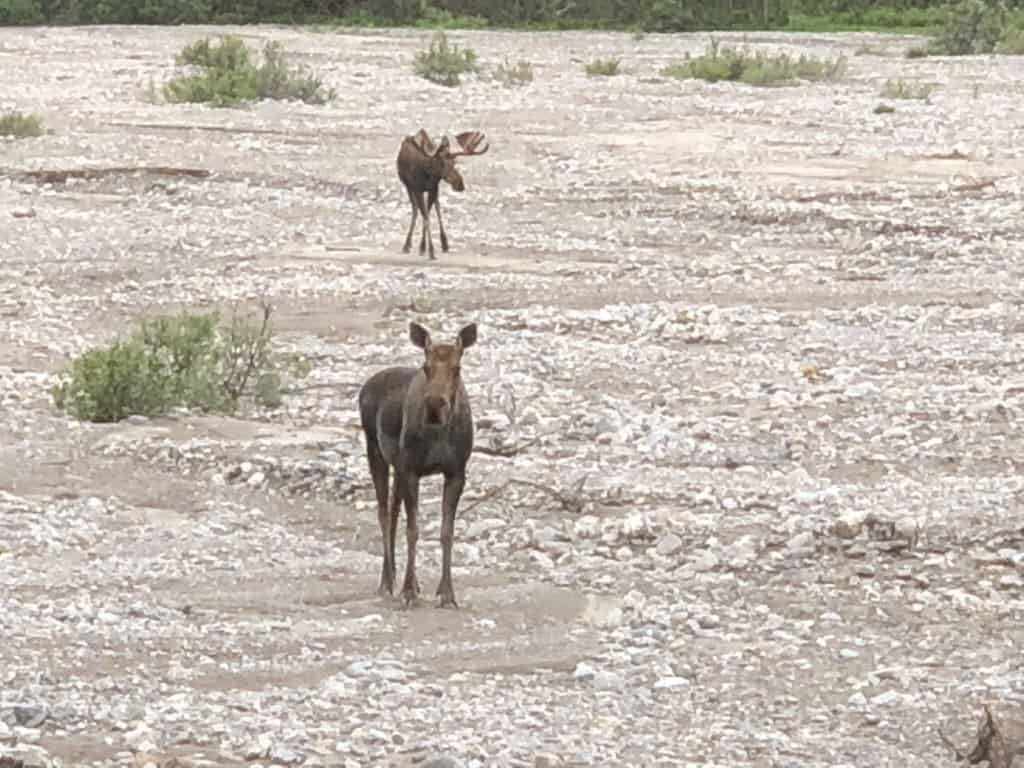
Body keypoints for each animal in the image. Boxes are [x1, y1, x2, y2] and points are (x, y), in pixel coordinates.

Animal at [356, 319, 479, 606]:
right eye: (426, 367)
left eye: (457, 368)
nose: (435, 404)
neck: (439, 433)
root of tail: (365, 386)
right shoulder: (412, 470)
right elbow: (413, 529)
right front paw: (408, 590)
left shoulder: (456, 472)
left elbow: (447, 531)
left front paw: (447, 593)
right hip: (376, 451)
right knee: (383, 513)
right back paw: (388, 581)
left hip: (397, 466)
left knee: (392, 510)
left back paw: (395, 576)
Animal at [393, 126, 489, 259]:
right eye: (442, 164)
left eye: (454, 163)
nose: (460, 184)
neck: (427, 172)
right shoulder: (417, 189)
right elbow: (425, 216)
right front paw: (430, 251)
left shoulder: (433, 188)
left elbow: (429, 214)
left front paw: (426, 247)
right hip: (408, 187)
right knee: (416, 210)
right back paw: (407, 245)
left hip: (432, 190)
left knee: (435, 208)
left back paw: (440, 243)